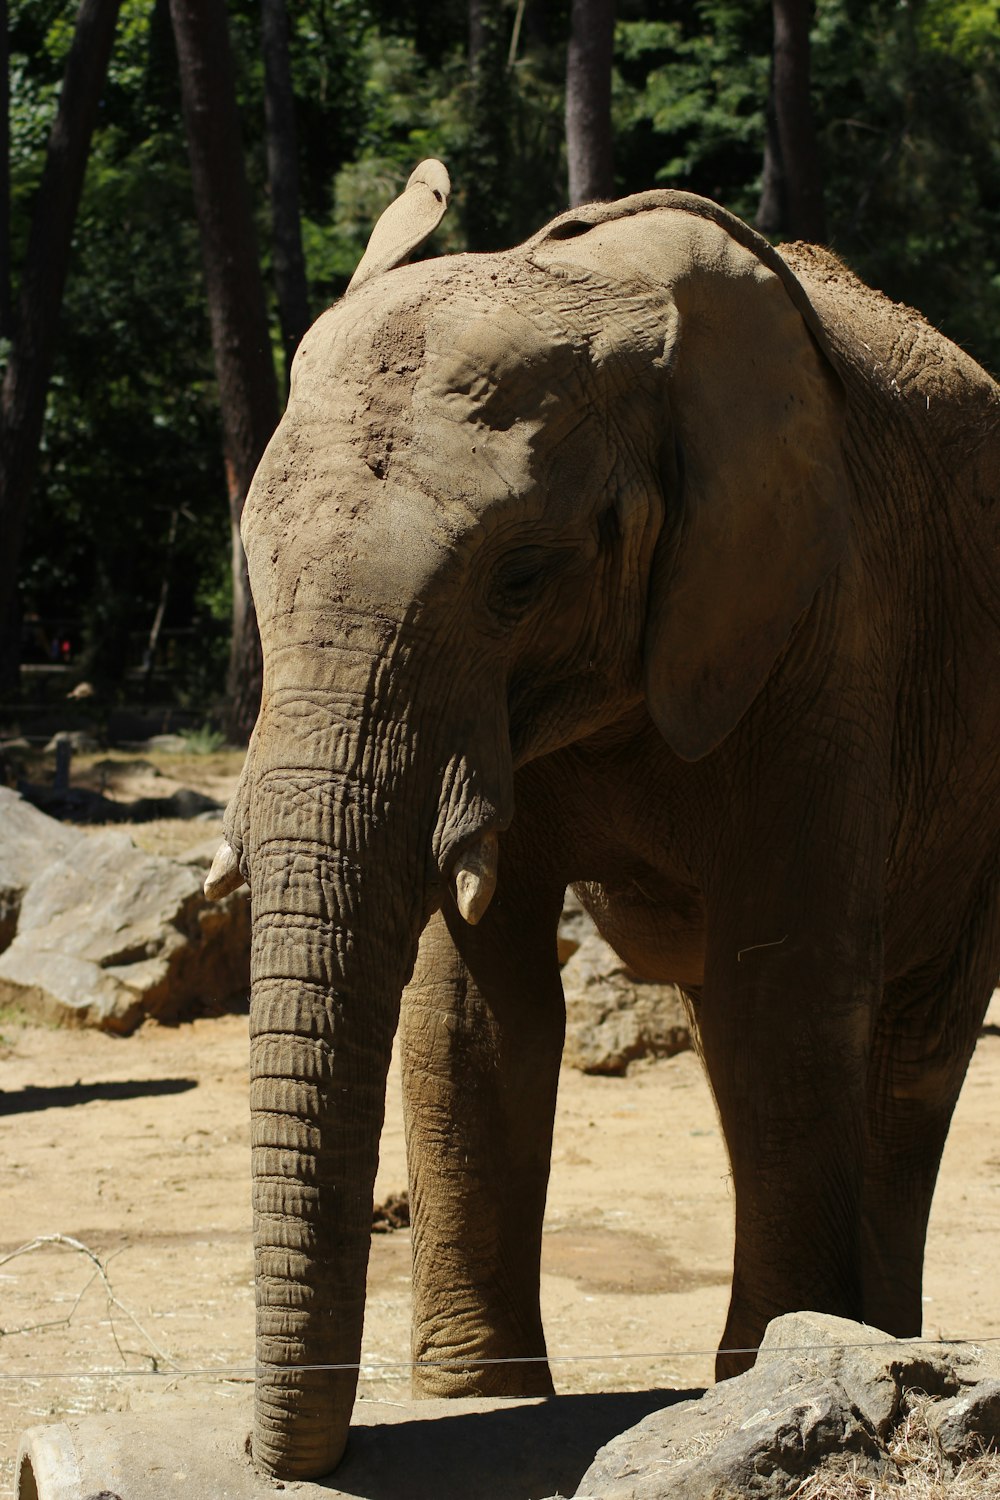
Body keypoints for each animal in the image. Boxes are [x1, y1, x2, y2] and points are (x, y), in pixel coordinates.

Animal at [205, 161, 1000, 1476]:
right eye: (254, 570)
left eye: (520, 580)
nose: (292, 1460)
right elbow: (474, 1006)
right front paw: (474, 1397)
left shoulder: (824, 613)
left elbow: (783, 992)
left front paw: (763, 1380)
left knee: (911, 1042)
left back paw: (881, 1343)